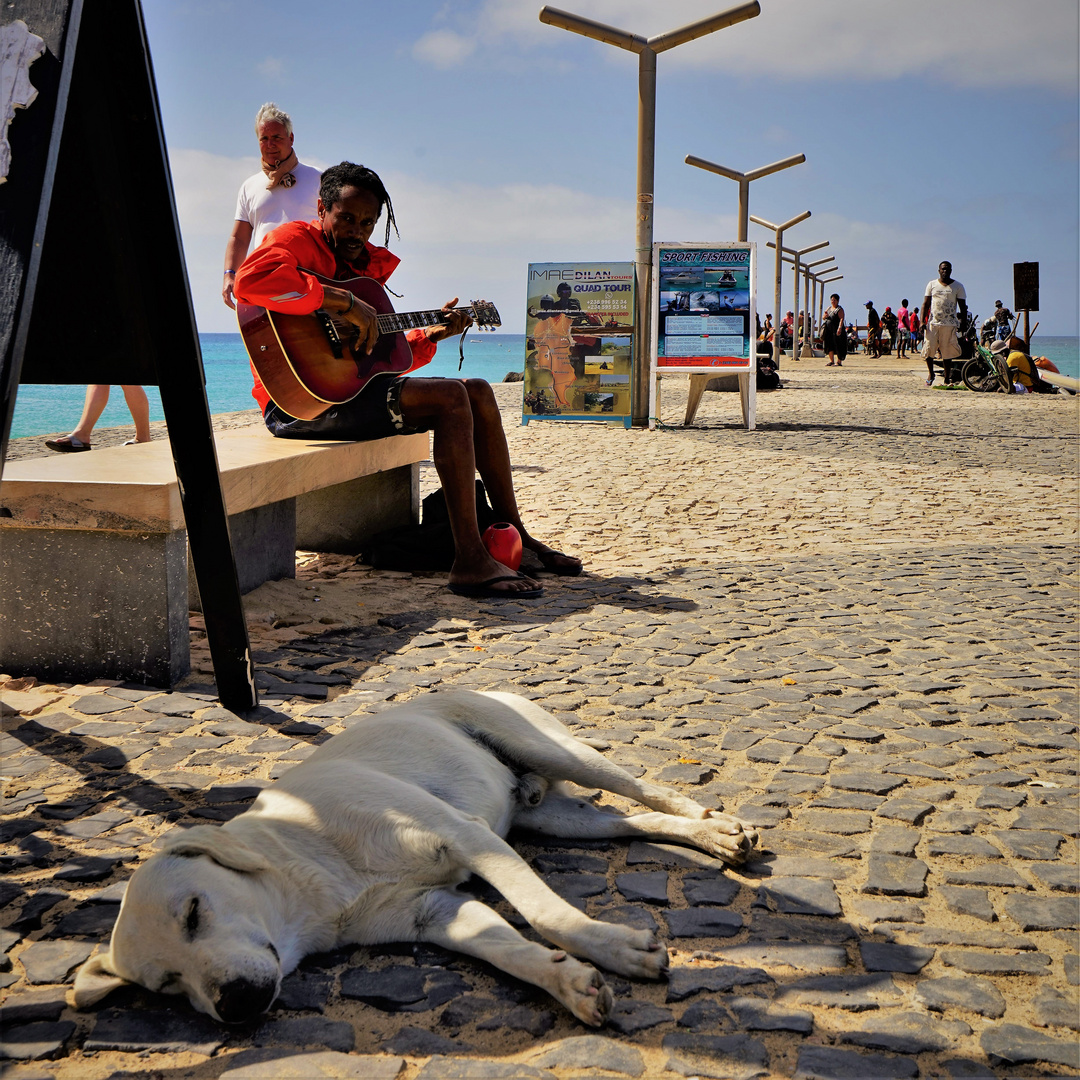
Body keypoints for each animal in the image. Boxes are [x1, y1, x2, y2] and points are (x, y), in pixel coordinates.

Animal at [71, 686, 756, 1023]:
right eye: (167, 984)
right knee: (628, 819)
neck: (313, 875)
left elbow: (545, 914)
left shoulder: (468, 837)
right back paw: (710, 837)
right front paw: (569, 982)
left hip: (549, 748)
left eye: (193, 911)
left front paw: (614, 948)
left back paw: (715, 824)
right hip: (556, 822)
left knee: (644, 788)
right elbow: (511, 949)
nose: (233, 1006)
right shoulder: (435, 913)